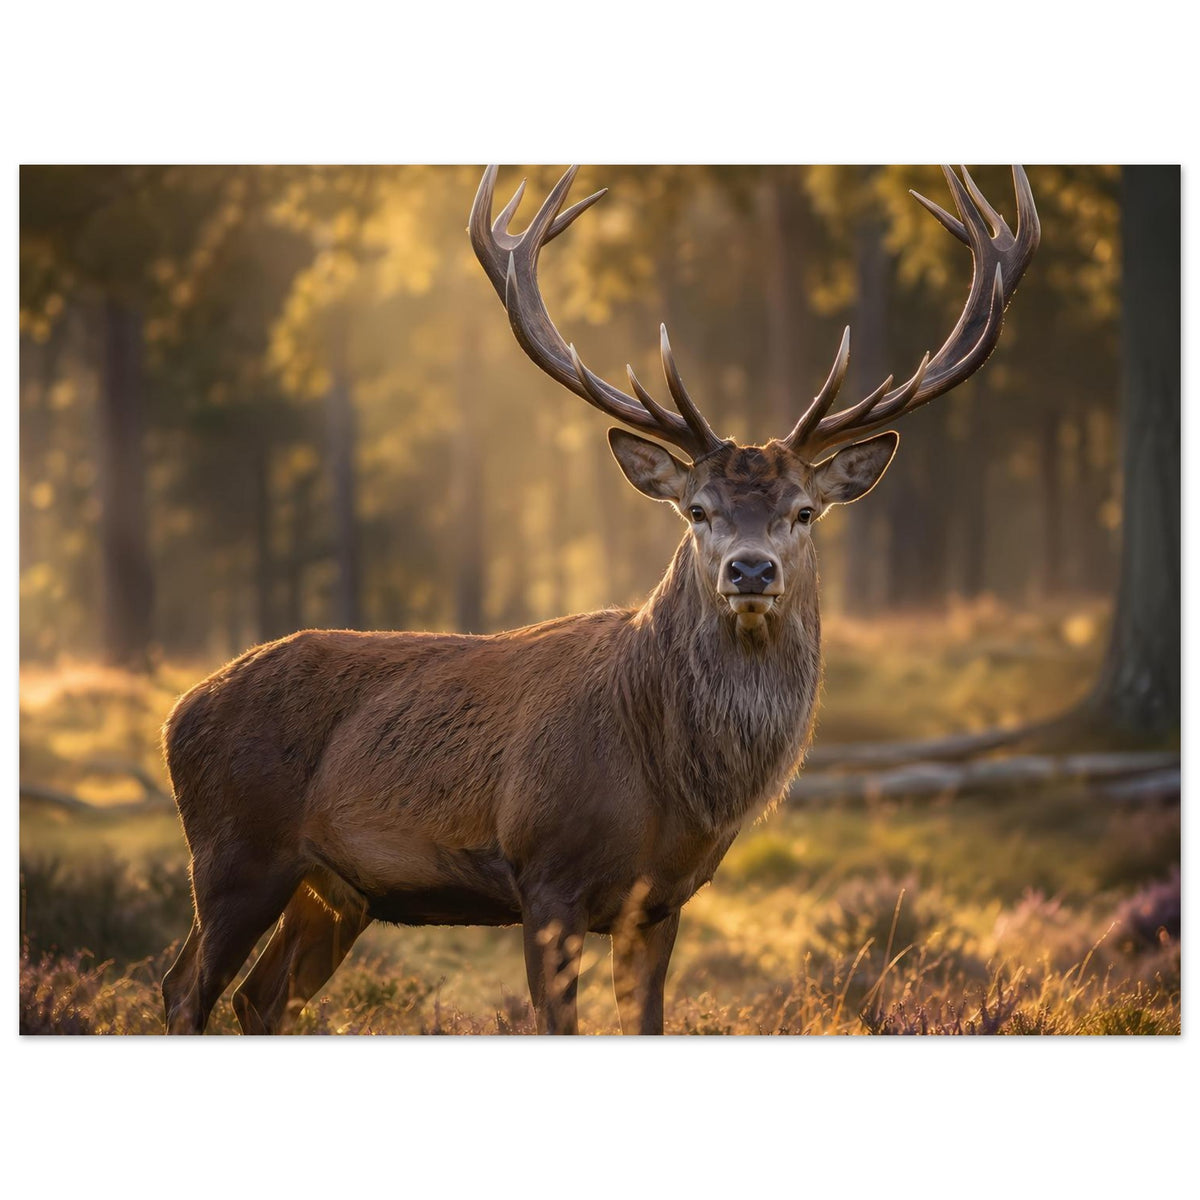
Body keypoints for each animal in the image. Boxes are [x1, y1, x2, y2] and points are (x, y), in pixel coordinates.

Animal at [160, 164, 1038, 1035]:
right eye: (697, 510)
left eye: (803, 511)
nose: (750, 572)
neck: (667, 786)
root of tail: (179, 711)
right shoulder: (544, 874)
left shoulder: (661, 901)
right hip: (235, 852)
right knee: (184, 985)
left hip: (336, 889)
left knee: (259, 996)